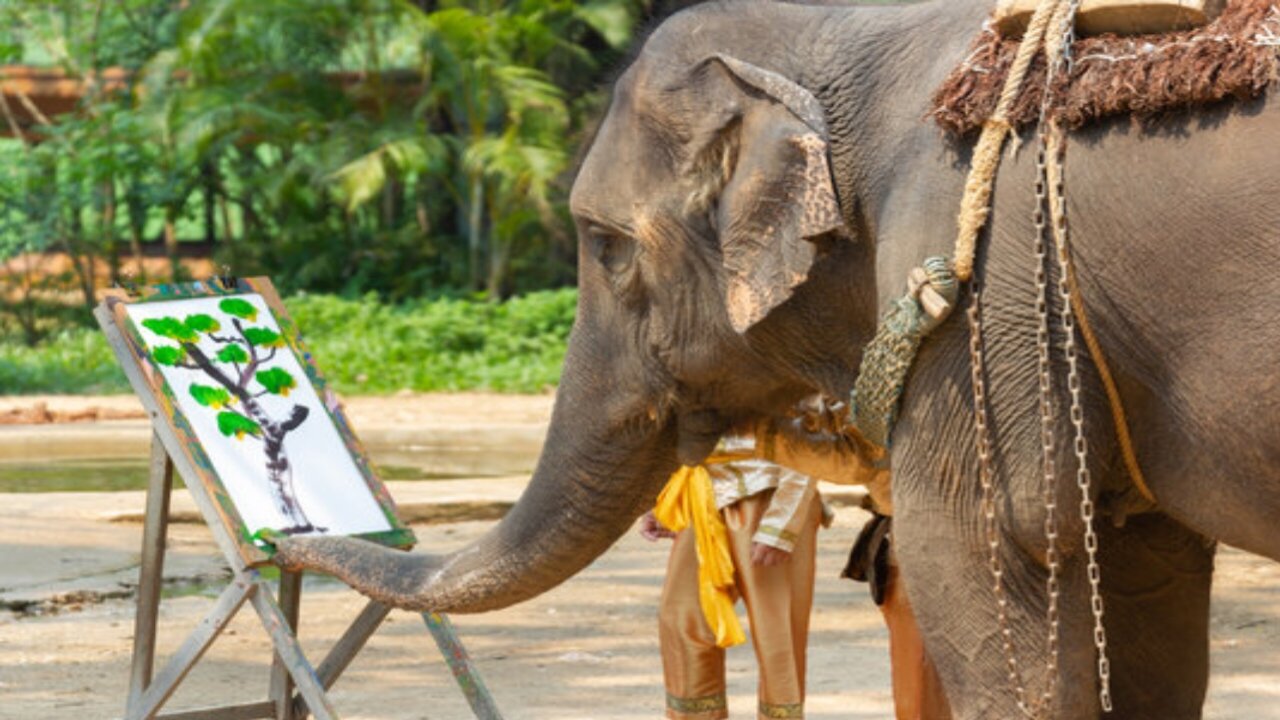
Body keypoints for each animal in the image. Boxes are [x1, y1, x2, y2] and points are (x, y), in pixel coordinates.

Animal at [275, 2, 1274, 712]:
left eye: (605, 247)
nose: (284, 541)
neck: (853, 31)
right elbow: (1143, 581)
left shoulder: (982, 292)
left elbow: (1000, 551)